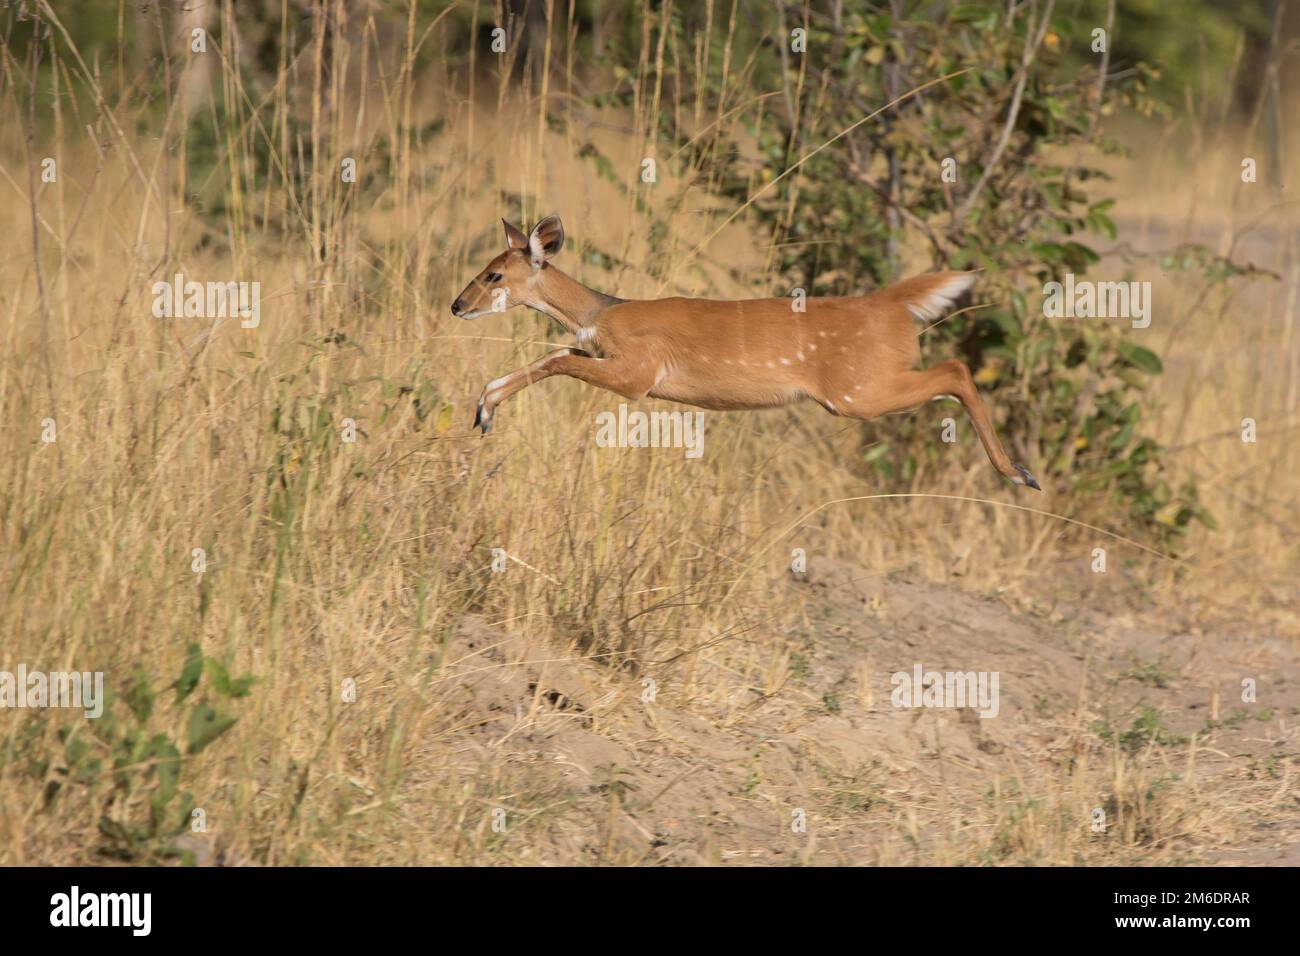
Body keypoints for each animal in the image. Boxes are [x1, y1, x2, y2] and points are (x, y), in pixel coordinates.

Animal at [452, 213, 1040, 489]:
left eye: (494, 274)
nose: (457, 305)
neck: (603, 314)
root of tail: (890, 306)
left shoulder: (641, 374)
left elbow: (557, 357)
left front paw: (485, 409)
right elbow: (552, 354)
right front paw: (483, 410)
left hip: (857, 390)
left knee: (956, 368)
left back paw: (1020, 474)